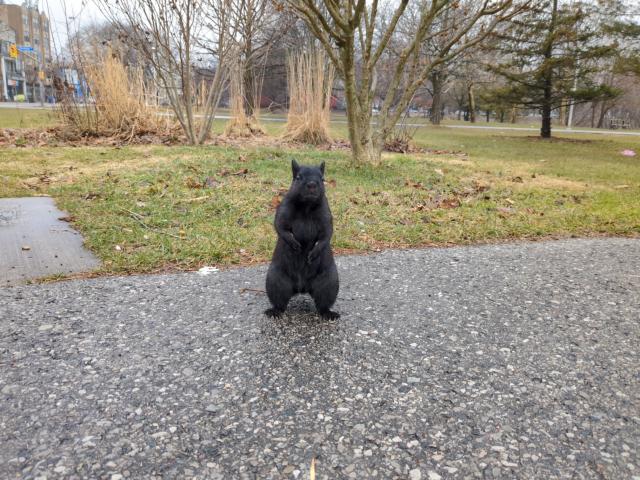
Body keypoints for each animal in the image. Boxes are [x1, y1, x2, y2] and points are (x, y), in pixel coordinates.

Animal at [265, 160, 340, 320]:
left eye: (322, 179)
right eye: (298, 177)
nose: (312, 184)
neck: (307, 206)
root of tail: (302, 288)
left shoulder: (326, 216)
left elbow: (326, 235)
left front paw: (314, 252)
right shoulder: (283, 210)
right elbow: (280, 227)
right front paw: (294, 245)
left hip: (328, 283)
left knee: (323, 303)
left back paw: (329, 314)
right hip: (276, 281)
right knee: (280, 302)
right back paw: (274, 312)